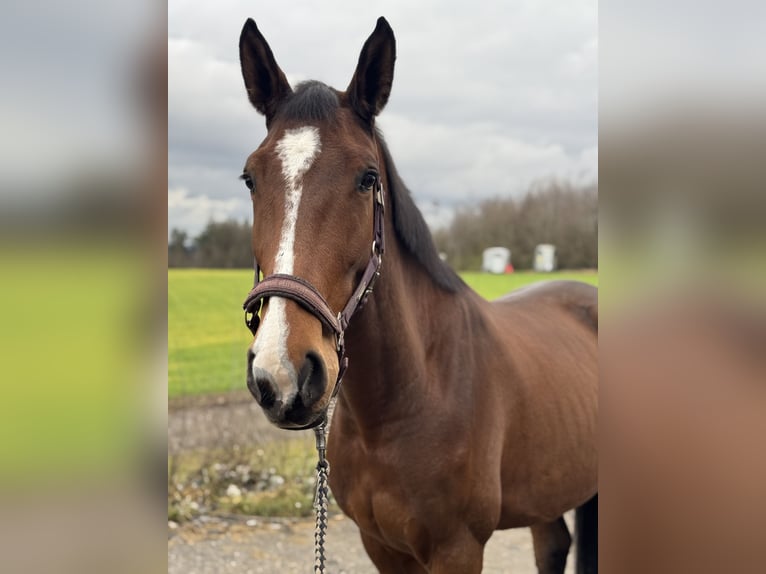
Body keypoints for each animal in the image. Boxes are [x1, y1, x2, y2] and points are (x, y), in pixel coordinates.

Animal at [240, 15, 600, 572]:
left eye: (367, 178)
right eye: (250, 178)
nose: (283, 374)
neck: (413, 393)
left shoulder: (458, 549)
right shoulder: (381, 545)